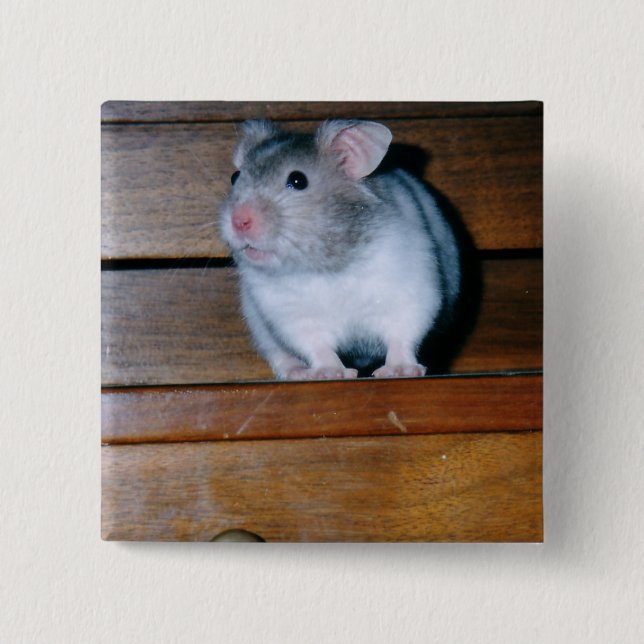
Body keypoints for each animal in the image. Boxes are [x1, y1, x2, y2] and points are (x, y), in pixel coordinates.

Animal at [219, 119, 461, 380]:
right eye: (235, 176)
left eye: (297, 180)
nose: (239, 220)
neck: (323, 266)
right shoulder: (292, 316)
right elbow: (318, 347)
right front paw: (330, 374)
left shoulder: (411, 293)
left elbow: (401, 336)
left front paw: (399, 371)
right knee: (281, 356)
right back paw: (299, 373)